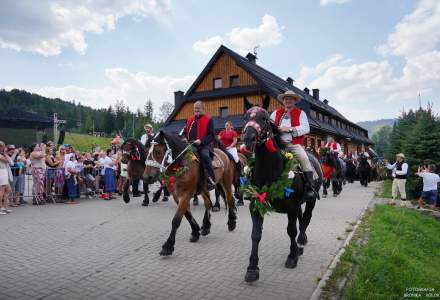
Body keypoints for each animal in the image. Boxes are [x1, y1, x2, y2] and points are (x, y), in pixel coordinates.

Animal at [241, 96, 324, 284]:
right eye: (246, 117)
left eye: (264, 118)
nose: (248, 138)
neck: (270, 171)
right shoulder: (255, 206)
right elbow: (255, 234)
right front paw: (252, 268)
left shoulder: (291, 207)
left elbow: (291, 230)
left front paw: (292, 257)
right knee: (302, 220)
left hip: (310, 201)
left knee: (305, 220)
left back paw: (300, 243)